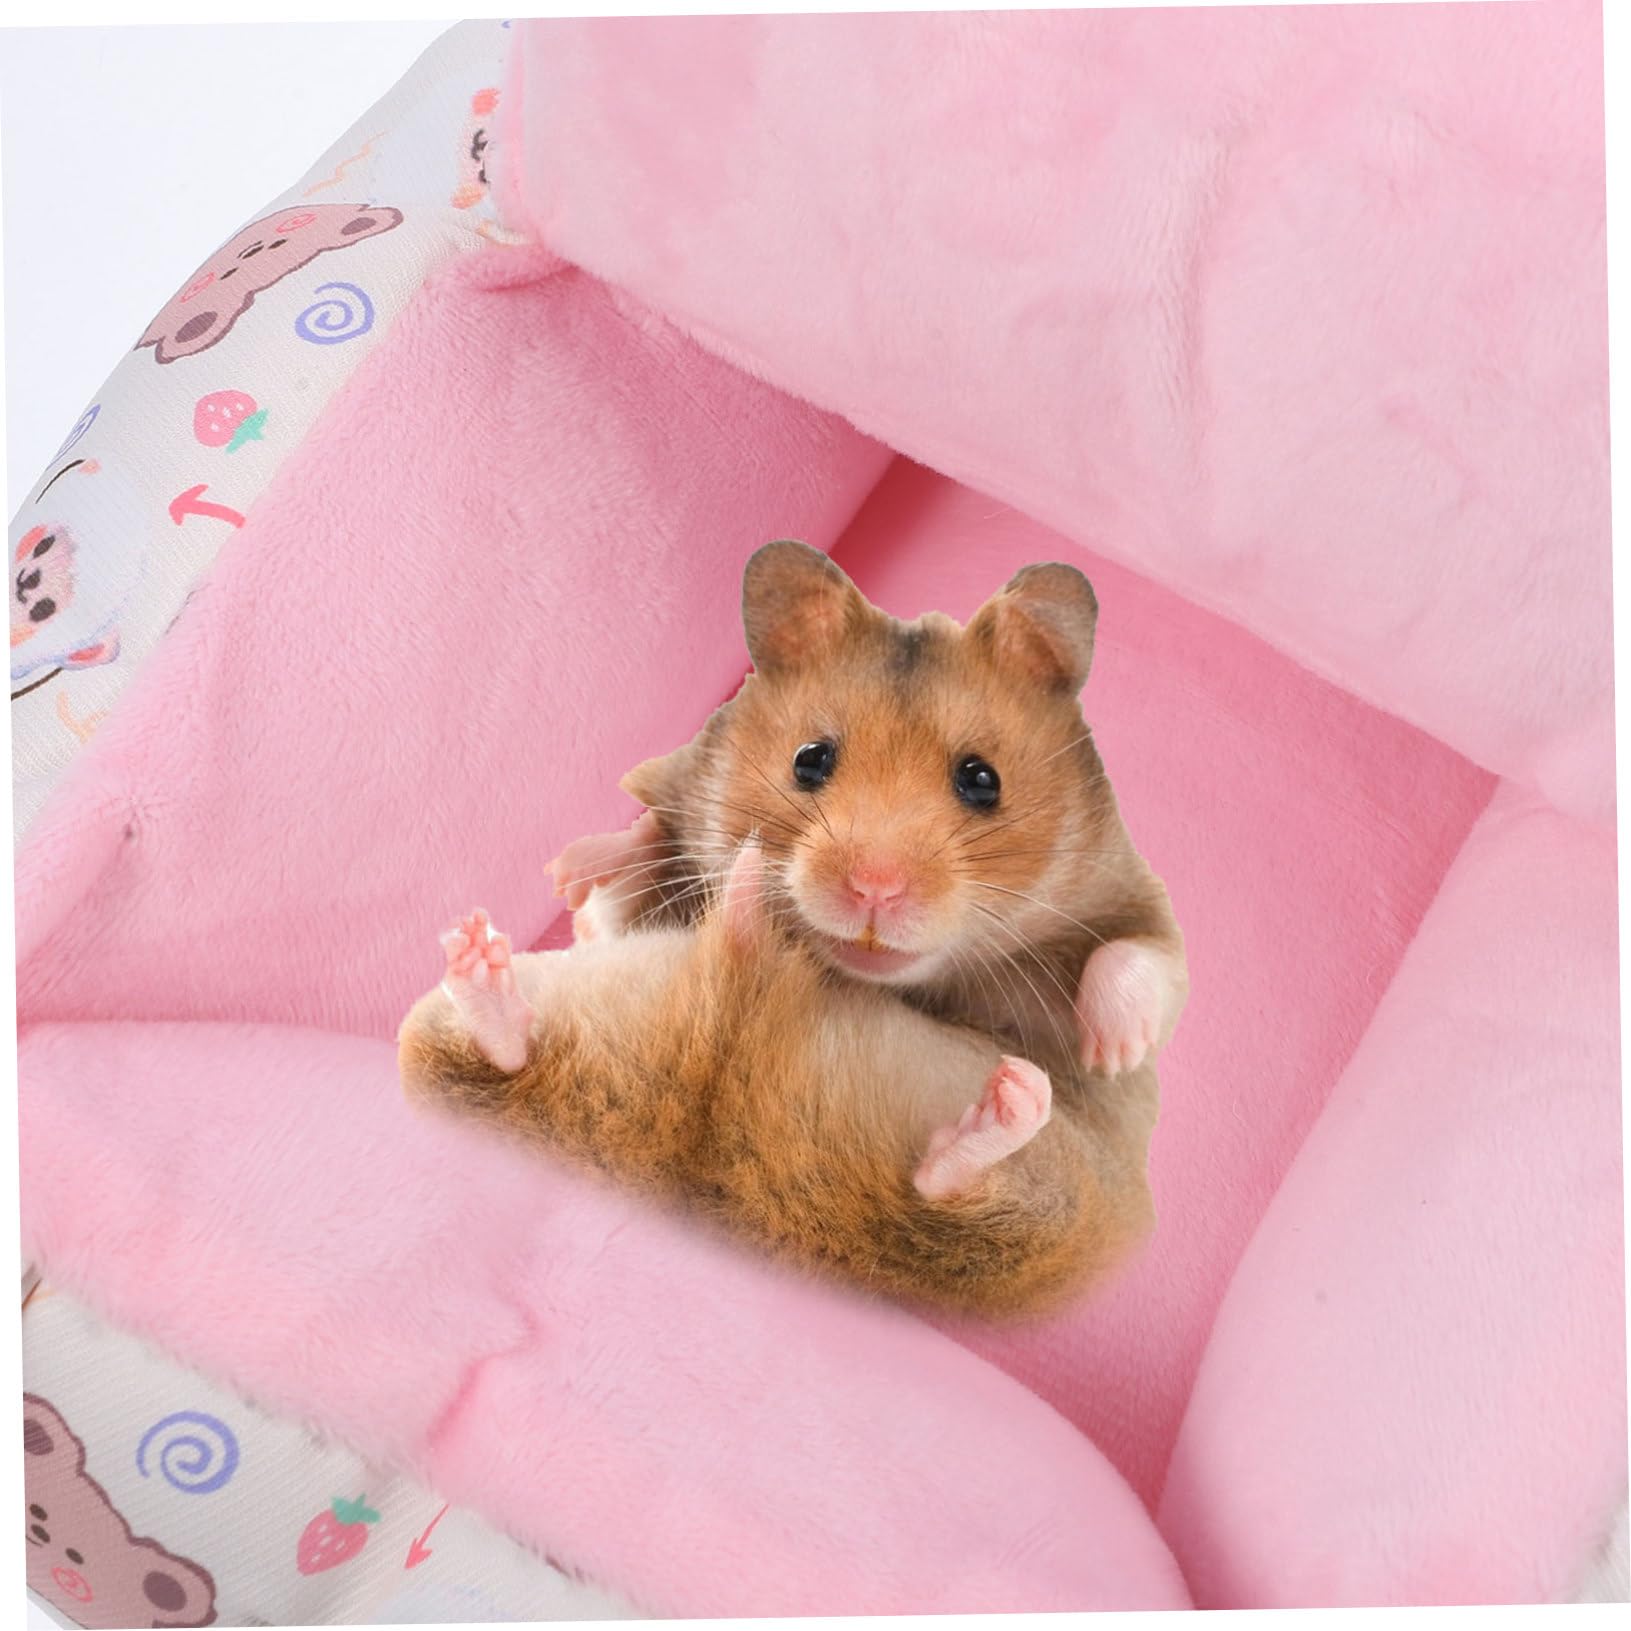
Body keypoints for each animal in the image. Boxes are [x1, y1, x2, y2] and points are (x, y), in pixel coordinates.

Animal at [397, 544, 1186, 1319]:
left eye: (981, 779)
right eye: (810, 759)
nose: (873, 887)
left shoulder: (1136, 899)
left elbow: (1135, 959)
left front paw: (1111, 1048)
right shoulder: (634, 896)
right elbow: (629, 867)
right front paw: (569, 869)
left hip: (1049, 1215)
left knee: (949, 1196)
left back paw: (1012, 1095)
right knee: (503, 1056)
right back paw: (493, 954)